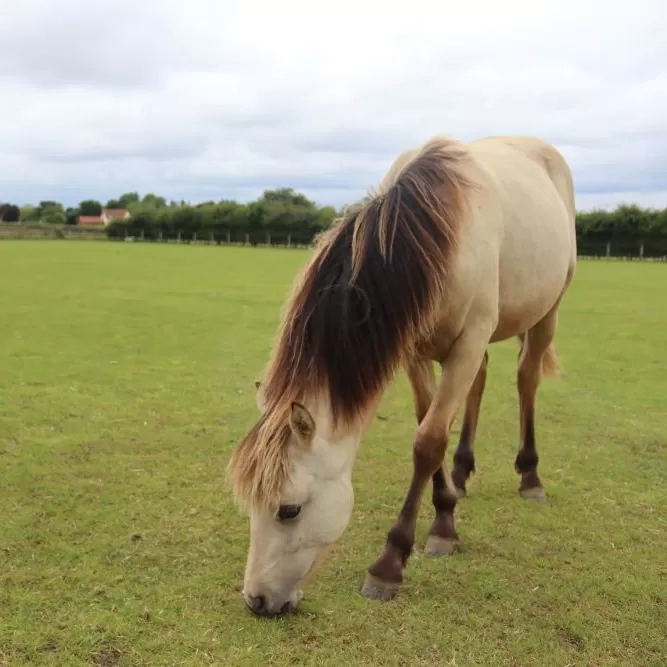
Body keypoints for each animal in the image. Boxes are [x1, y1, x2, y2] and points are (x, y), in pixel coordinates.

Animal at [227, 134, 576, 616]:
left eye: (289, 510)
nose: (256, 599)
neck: (432, 229)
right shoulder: (415, 348)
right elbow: (429, 424)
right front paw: (445, 512)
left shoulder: (468, 340)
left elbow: (428, 441)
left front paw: (392, 562)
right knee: (481, 382)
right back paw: (462, 475)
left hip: (548, 312)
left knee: (527, 379)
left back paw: (530, 477)